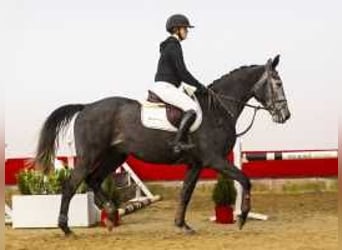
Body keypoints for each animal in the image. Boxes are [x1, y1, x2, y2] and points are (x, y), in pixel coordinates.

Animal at [32, 53, 290, 235]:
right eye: (277, 83)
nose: (285, 116)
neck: (217, 109)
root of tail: (86, 107)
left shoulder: (196, 164)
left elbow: (185, 193)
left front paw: (182, 225)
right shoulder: (214, 159)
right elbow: (245, 180)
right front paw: (243, 218)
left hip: (116, 156)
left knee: (94, 180)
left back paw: (112, 215)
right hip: (89, 156)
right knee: (72, 184)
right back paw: (66, 228)